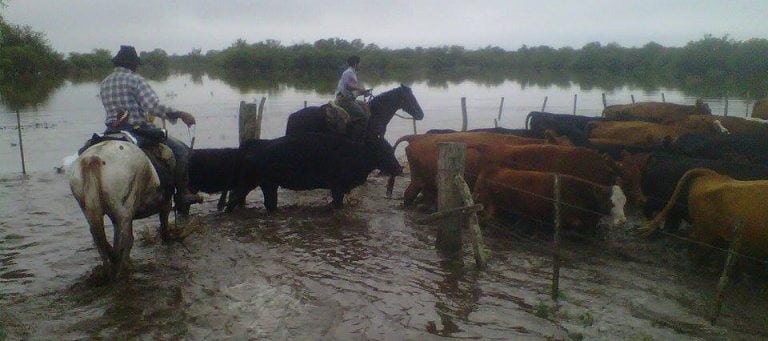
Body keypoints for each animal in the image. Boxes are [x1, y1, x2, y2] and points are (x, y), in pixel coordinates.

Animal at [69, 139, 174, 278]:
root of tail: (92, 159)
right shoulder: (166, 205)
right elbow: (164, 225)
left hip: (91, 210)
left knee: (100, 240)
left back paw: (109, 271)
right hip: (125, 210)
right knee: (125, 241)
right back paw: (121, 270)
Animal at [226, 133, 402, 211]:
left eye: (391, 150)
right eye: (385, 151)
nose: (399, 168)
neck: (354, 154)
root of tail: (253, 143)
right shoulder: (337, 187)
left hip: (257, 182)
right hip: (263, 183)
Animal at [472, 167, 628, 231]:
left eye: (625, 202)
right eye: (611, 202)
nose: (622, 221)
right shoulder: (563, 218)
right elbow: (575, 224)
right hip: (488, 205)